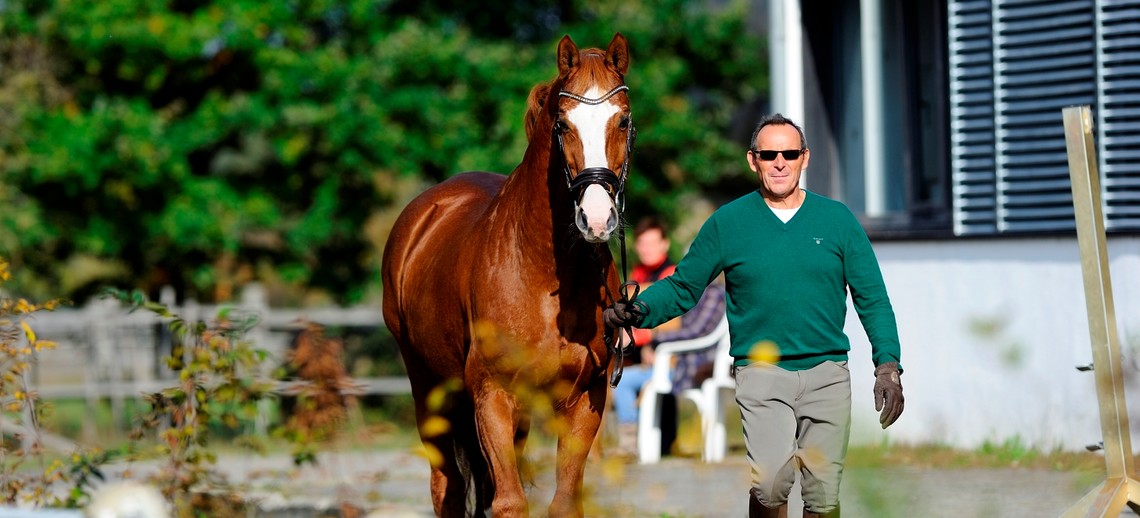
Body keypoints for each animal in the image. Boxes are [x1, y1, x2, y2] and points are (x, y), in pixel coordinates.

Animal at [380, 34, 633, 515]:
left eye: (624, 121)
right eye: (562, 124)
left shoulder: (583, 402)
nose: (596, 219)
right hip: (429, 390)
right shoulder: (493, 398)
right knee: (447, 486)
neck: (545, 279)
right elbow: (509, 503)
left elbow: (563, 501)